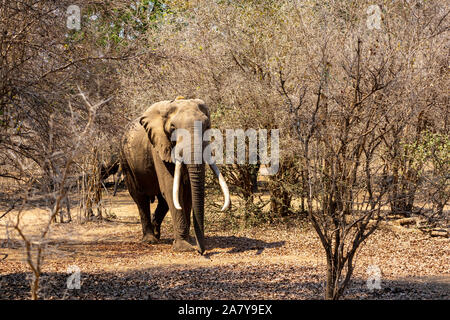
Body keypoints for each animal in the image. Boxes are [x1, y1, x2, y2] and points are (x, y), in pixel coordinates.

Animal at [118, 96, 230, 254]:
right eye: (172, 128)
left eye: (207, 126)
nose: (201, 251)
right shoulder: (158, 145)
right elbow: (171, 188)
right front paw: (184, 247)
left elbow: (187, 192)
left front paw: (189, 241)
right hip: (125, 159)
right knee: (140, 198)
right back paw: (150, 240)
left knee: (163, 200)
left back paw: (157, 233)